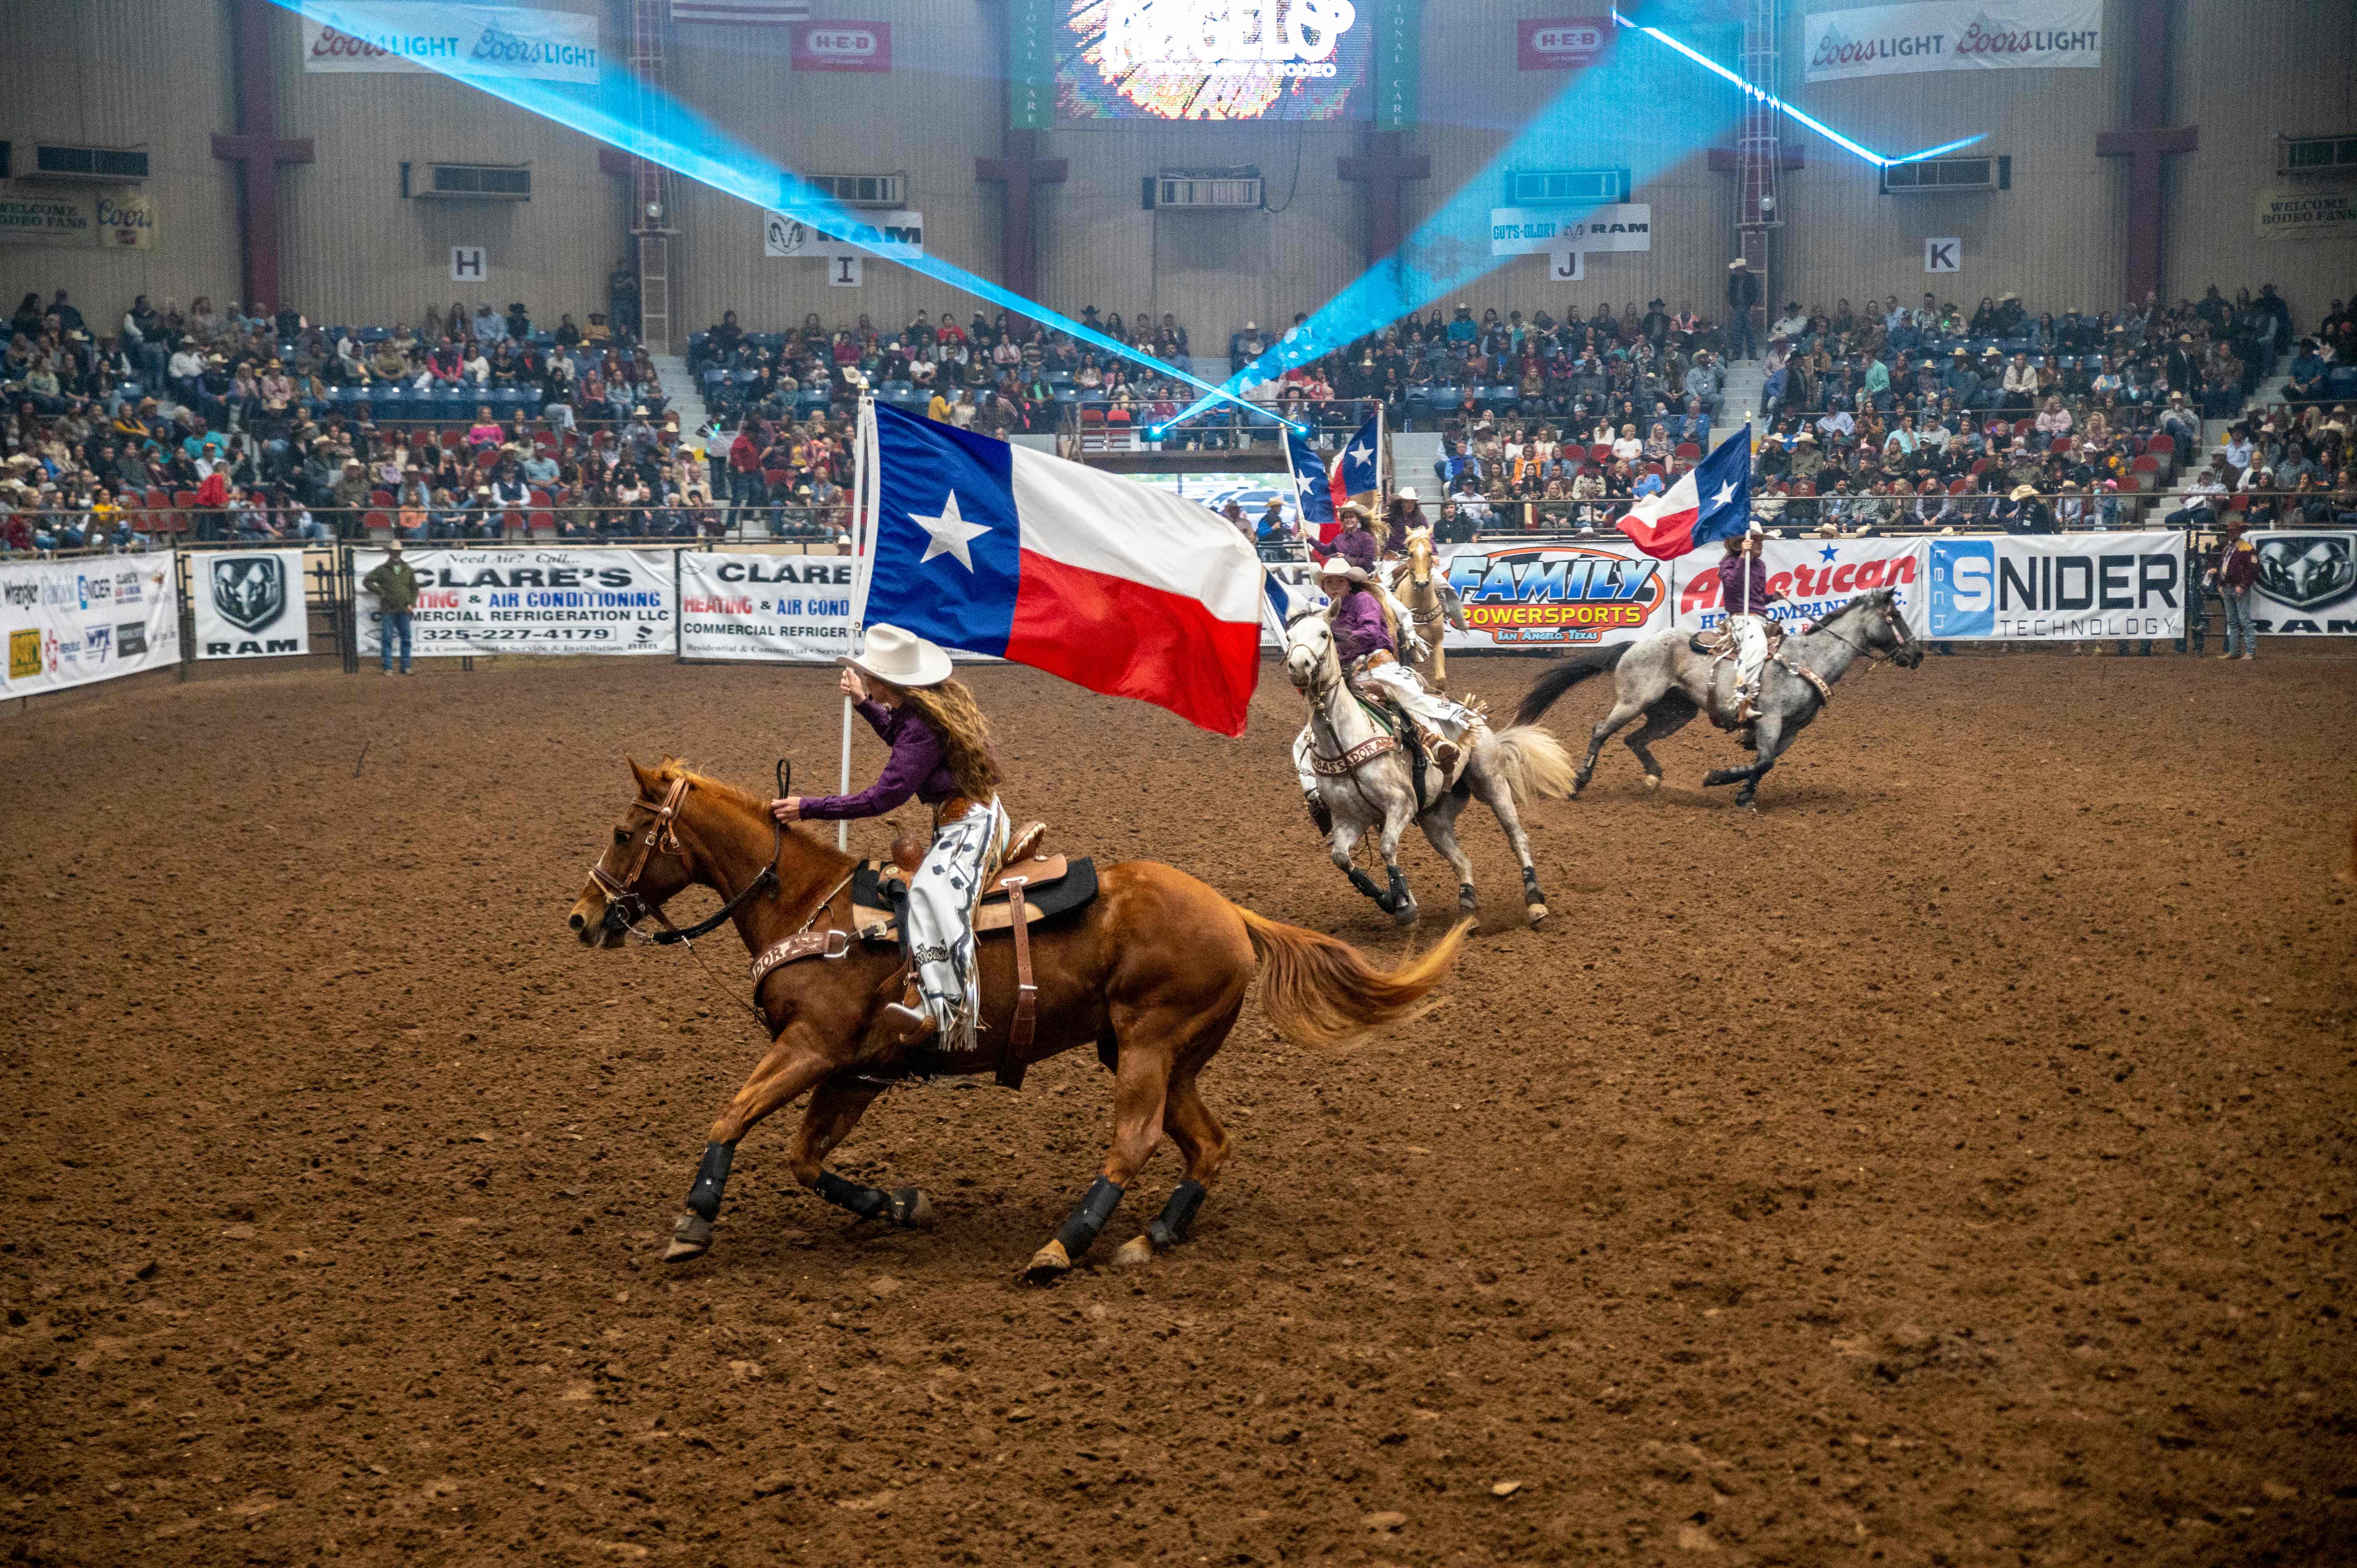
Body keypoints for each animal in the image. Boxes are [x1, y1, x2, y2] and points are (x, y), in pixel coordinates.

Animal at [565, 754, 1470, 1282]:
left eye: (624, 832)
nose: (582, 917)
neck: (810, 907)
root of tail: (1233, 912)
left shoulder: (812, 1048)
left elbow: (733, 1114)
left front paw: (694, 1219)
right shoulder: (855, 1071)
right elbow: (804, 1155)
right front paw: (898, 1203)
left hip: (1149, 1045)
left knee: (1135, 1140)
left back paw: (1063, 1246)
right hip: (1159, 1053)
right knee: (1208, 1143)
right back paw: (1152, 1236)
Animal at [1282, 613, 1574, 929]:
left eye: (1324, 634)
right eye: (1289, 637)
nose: (1299, 666)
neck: (1342, 742)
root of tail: (1473, 716)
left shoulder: (1402, 805)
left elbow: (1387, 847)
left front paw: (1404, 905)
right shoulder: (1350, 819)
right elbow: (1341, 858)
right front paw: (1390, 900)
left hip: (1492, 784)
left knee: (1517, 838)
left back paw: (1535, 902)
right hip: (1434, 818)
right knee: (1462, 861)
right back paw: (1467, 912)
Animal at [1518, 584, 1923, 806]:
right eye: (1894, 617)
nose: (1917, 655)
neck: (1809, 660)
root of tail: (1636, 644)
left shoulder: (1792, 730)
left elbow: (1765, 762)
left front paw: (1744, 795)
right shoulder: (1771, 720)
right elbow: (1764, 760)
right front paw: (1716, 777)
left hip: (1675, 713)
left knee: (1635, 739)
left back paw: (1653, 778)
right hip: (1635, 701)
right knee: (1601, 730)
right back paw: (1579, 783)